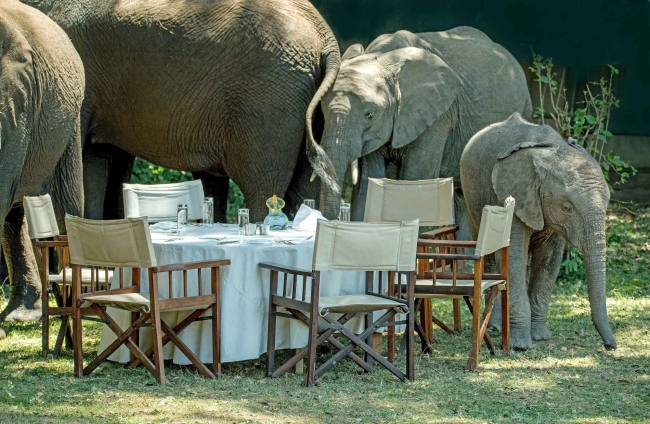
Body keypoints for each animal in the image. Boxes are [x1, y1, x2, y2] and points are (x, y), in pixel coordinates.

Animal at [305, 27, 532, 228]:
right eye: (322, 113)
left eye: (369, 114)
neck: (384, 57)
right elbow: (370, 181)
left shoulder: (439, 115)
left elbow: (415, 179)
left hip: (523, 109)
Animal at [459, 112, 616, 351]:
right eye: (567, 207)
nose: (610, 346)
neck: (552, 150)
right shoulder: (515, 194)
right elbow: (514, 256)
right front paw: (521, 346)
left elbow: (549, 260)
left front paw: (541, 336)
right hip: (471, 196)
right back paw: (495, 327)